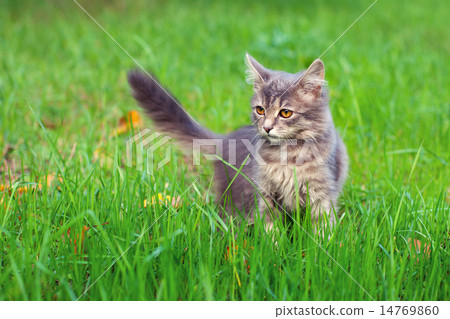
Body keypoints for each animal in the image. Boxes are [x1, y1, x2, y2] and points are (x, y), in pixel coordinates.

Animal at [128, 54, 350, 232]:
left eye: (285, 113)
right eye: (260, 110)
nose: (267, 128)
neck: (287, 154)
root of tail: (225, 139)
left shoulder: (322, 194)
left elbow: (322, 228)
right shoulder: (265, 193)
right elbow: (271, 228)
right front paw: (273, 250)